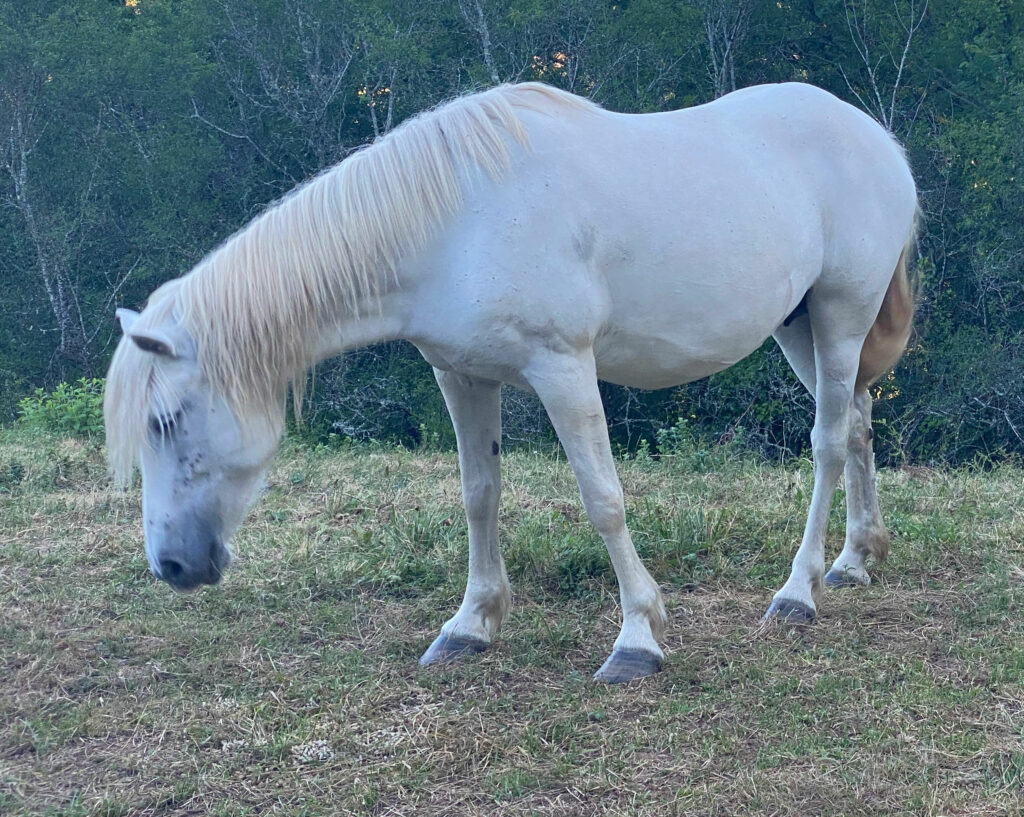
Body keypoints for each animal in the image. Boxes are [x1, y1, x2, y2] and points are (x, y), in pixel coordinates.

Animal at [105, 82, 921, 683]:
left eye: (166, 420)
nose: (171, 565)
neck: (452, 223)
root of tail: (876, 138)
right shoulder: (462, 374)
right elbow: (479, 495)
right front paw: (470, 625)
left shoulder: (562, 367)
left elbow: (603, 500)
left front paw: (637, 638)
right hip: (799, 326)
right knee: (857, 422)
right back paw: (853, 562)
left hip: (841, 316)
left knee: (826, 442)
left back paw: (797, 593)